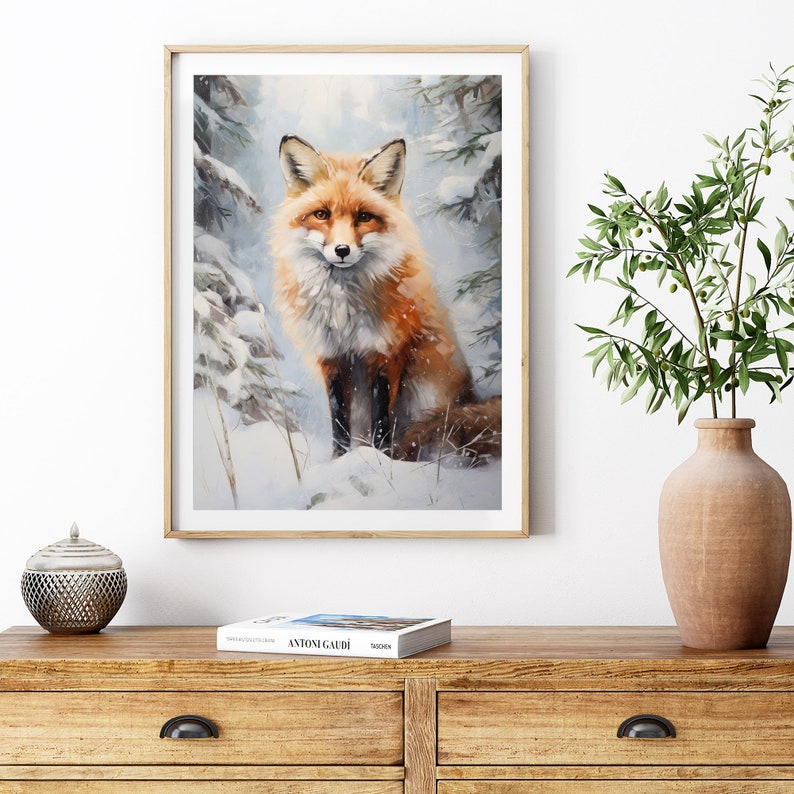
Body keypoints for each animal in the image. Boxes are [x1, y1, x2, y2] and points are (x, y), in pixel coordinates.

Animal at [270, 134, 501, 464]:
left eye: (364, 217)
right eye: (322, 214)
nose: (342, 250)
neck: (344, 310)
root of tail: (470, 396)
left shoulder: (387, 351)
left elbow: (381, 421)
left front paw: (381, 462)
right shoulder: (332, 357)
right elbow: (339, 420)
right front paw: (339, 461)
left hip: (426, 389)